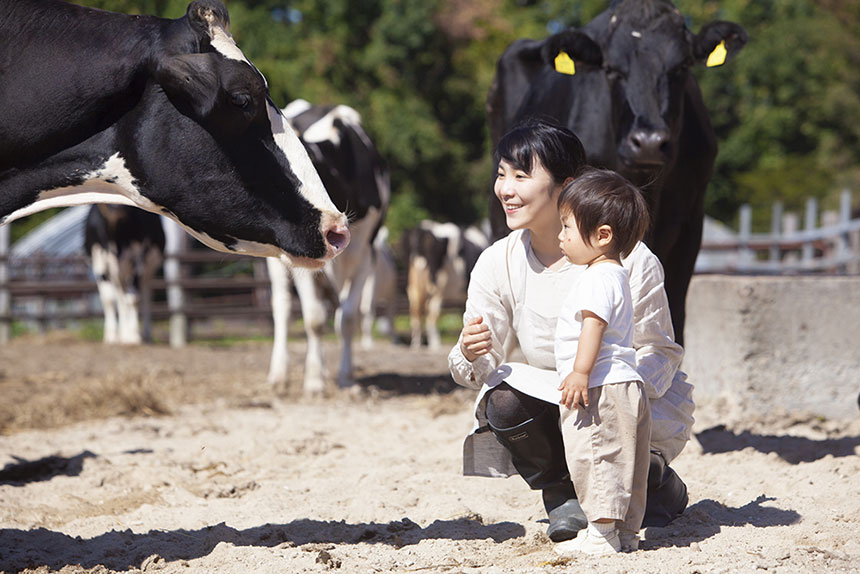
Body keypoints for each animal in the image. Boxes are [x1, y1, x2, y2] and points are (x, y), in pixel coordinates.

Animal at [84, 206, 165, 344]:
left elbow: (133, 299)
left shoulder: (138, 261)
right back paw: (122, 333)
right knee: (120, 298)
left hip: (146, 271)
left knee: (145, 296)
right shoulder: (100, 263)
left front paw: (134, 336)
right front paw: (111, 336)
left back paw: (145, 335)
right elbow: (108, 300)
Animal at [268, 100, 392, 396]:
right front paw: (313, 382)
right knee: (282, 308)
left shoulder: (365, 254)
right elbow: (313, 319)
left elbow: (347, 318)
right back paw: (279, 374)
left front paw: (345, 377)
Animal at [402, 223, 488, 352]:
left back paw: (416, 344)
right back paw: (435, 344)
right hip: (438, 289)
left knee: (415, 314)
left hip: (414, 288)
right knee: (432, 315)